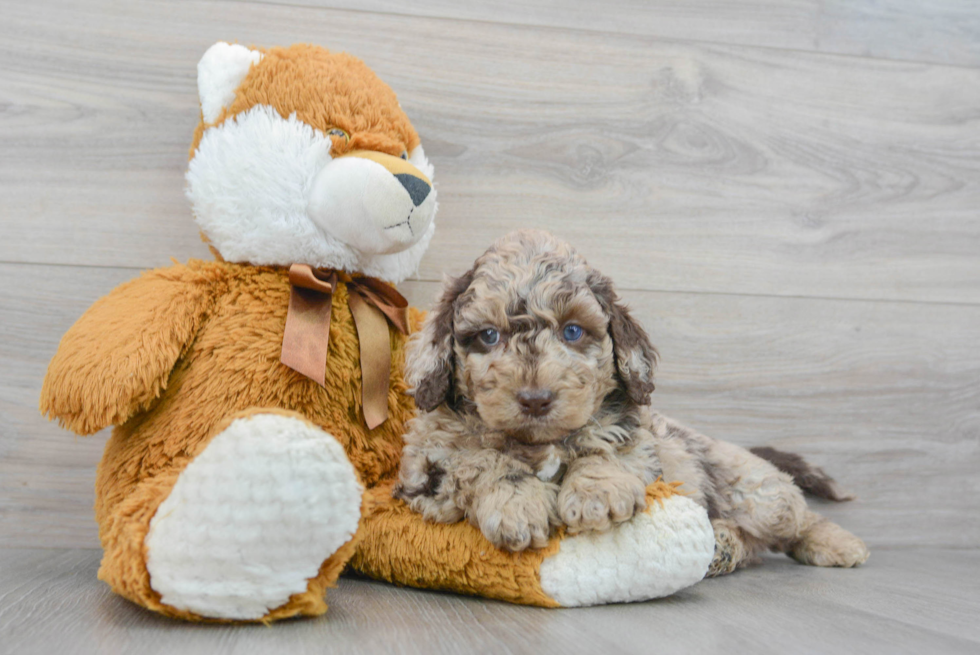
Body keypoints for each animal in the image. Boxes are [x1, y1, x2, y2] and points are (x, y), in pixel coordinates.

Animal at [394, 229, 868, 576]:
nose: (535, 399)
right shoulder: (427, 470)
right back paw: (724, 546)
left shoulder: (640, 440)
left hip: (756, 492)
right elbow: (480, 460)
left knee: (796, 518)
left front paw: (594, 493)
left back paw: (838, 543)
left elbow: (608, 448)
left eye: (572, 331)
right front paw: (517, 504)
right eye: (488, 336)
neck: (540, 443)